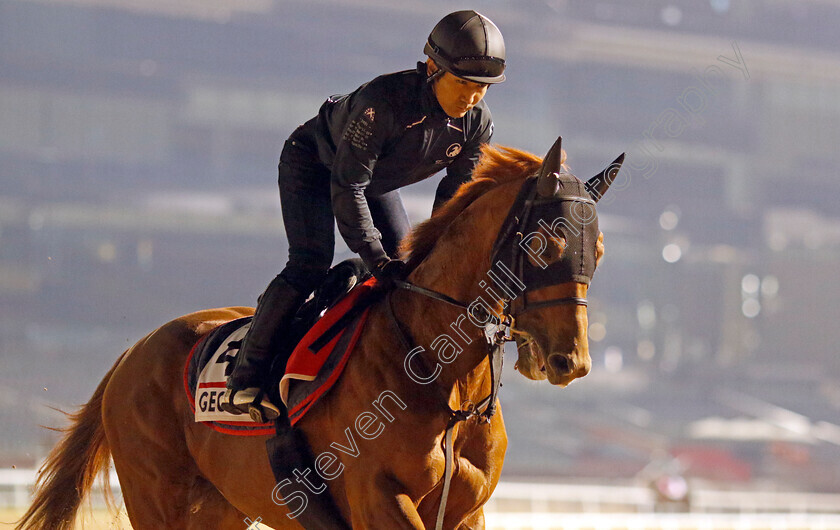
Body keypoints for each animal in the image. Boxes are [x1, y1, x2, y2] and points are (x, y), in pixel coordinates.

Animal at [16, 137, 624, 528]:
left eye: (597, 251)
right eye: (543, 243)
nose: (569, 361)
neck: (440, 376)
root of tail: (133, 353)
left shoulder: (466, 512)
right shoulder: (379, 500)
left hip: (219, 507)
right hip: (158, 498)